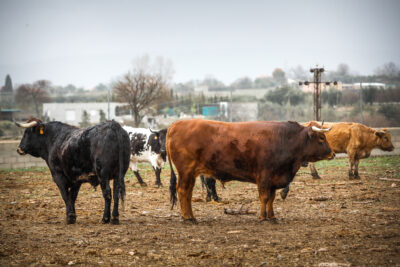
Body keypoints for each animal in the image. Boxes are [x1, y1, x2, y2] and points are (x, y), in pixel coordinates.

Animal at [166, 119, 334, 222]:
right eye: (321, 138)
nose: (332, 154)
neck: (284, 139)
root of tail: (176, 125)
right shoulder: (264, 176)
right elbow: (264, 197)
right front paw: (262, 217)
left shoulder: (274, 179)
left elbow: (272, 199)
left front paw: (272, 216)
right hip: (186, 171)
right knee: (183, 191)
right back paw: (187, 217)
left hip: (190, 173)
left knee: (187, 193)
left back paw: (191, 216)